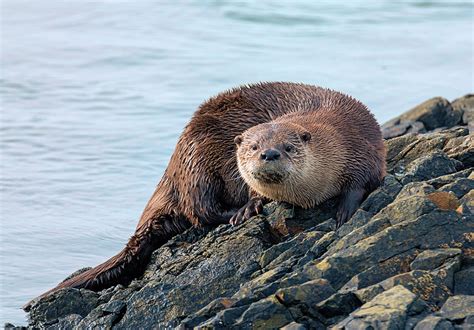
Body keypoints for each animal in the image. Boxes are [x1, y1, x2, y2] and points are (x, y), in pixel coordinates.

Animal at [26, 82, 386, 306]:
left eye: (288, 146)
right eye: (253, 146)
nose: (268, 153)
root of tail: (171, 171)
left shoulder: (362, 149)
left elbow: (361, 183)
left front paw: (344, 211)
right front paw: (253, 204)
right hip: (198, 161)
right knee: (200, 210)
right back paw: (240, 212)